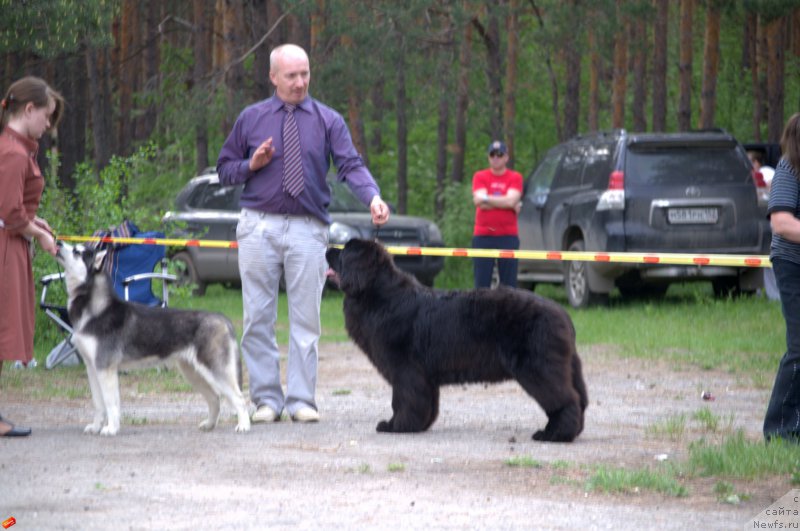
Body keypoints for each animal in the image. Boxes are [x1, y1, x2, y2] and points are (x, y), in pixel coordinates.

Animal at [324, 239, 588, 442]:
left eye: (343, 251)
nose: (327, 247)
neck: (377, 295)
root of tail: (562, 313)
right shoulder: (424, 375)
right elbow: (427, 403)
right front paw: (419, 425)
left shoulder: (405, 369)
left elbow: (403, 400)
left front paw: (396, 426)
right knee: (579, 398)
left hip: (538, 367)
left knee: (565, 400)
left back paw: (554, 435)